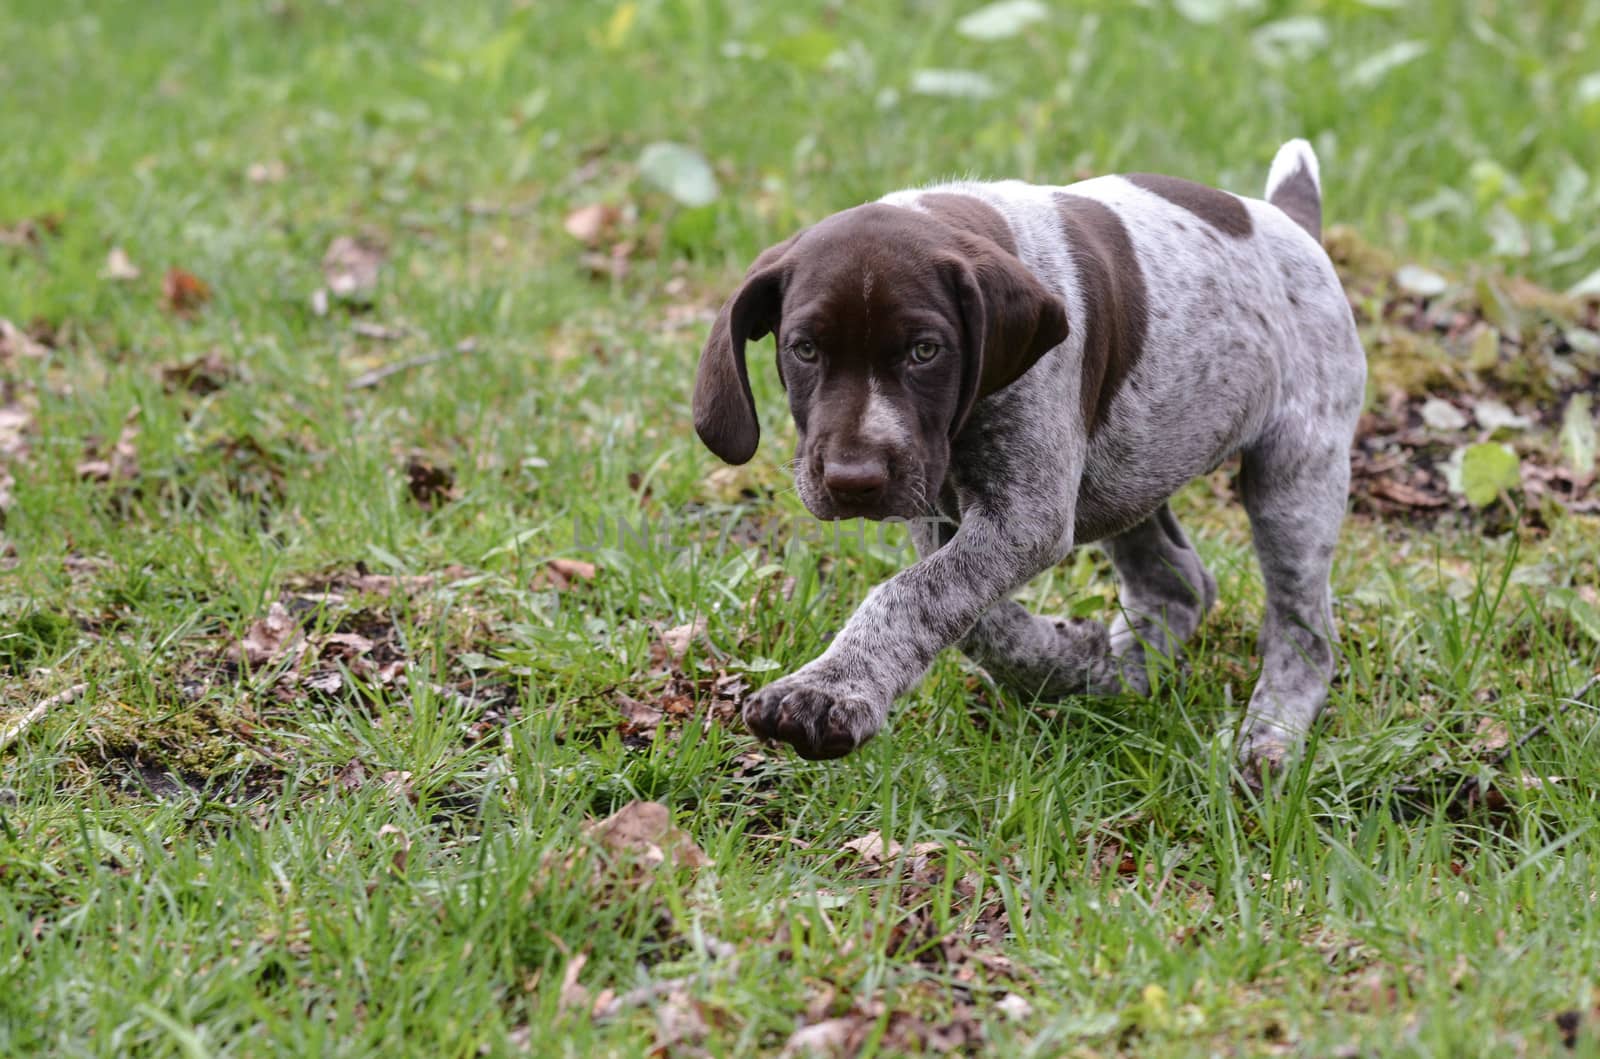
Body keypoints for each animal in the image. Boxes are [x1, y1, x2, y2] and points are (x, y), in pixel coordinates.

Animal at [694, 140, 1369, 783]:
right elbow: (967, 615)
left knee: (1304, 630)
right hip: (1128, 466)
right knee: (1175, 583)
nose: (852, 483)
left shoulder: (1023, 516)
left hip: (1294, 475)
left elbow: (913, 593)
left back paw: (1269, 738)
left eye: (925, 351)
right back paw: (1116, 673)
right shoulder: (940, 507)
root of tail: (1289, 222)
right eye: (804, 349)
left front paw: (829, 693)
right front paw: (1065, 661)